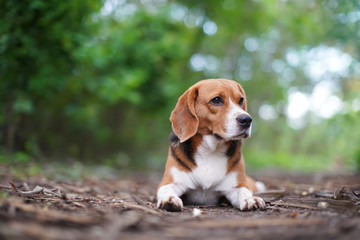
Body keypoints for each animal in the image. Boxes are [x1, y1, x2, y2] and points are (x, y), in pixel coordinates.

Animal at [156, 79, 266, 212]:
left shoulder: (237, 185)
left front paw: (250, 199)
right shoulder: (170, 181)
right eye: (216, 100)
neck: (210, 151)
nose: (247, 119)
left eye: (241, 100)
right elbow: (166, 190)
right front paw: (169, 199)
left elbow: (244, 191)